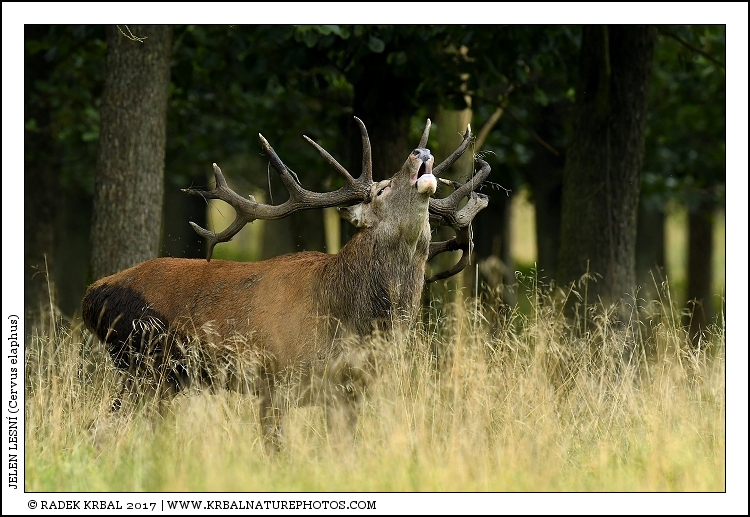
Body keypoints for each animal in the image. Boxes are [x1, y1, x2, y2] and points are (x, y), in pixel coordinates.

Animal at [81, 117, 491, 450]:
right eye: (381, 189)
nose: (421, 150)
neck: (347, 318)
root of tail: (91, 297)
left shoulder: (350, 390)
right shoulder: (275, 380)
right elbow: (276, 451)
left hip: (162, 379)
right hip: (142, 364)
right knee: (100, 428)